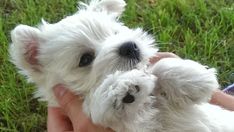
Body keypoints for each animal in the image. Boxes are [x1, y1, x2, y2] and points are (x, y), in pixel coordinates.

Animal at [9, 0, 234, 132]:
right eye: (85, 59)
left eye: (116, 32)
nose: (129, 46)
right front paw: (122, 88)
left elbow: (156, 67)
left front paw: (194, 78)